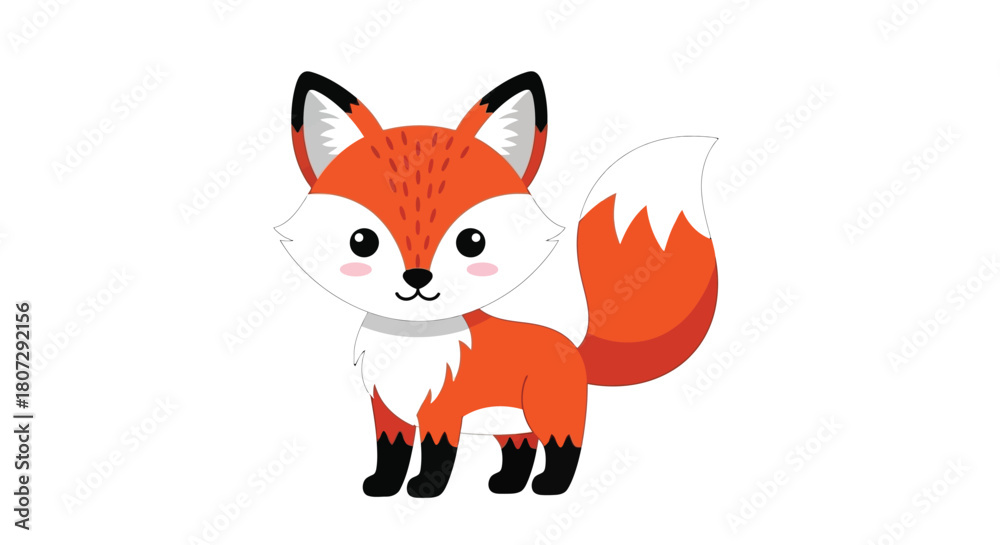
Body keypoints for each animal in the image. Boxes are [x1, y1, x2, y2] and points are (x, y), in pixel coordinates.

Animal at [277, 71, 718, 497]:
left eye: (472, 242)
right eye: (362, 241)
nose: (417, 279)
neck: (411, 348)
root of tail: (572, 347)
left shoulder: (441, 411)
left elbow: (437, 456)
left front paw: (423, 490)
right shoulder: (387, 410)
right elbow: (390, 455)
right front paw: (383, 488)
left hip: (549, 415)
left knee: (564, 450)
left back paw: (550, 487)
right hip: (511, 424)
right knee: (520, 450)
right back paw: (507, 485)